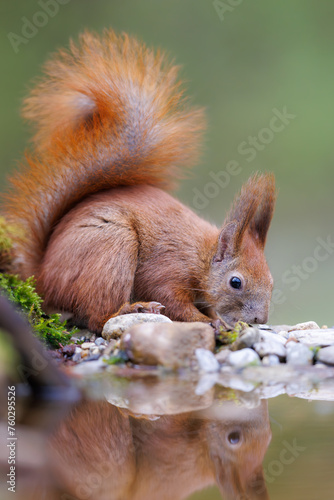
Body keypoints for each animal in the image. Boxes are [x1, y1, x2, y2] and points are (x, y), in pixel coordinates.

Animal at [2, 30, 276, 332]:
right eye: (235, 282)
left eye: (272, 282)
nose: (260, 320)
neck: (202, 257)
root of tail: (42, 277)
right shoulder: (166, 270)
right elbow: (173, 301)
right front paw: (209, 321)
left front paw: (216, 317)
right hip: (111, 249)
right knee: (99, 317)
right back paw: (135, 307)